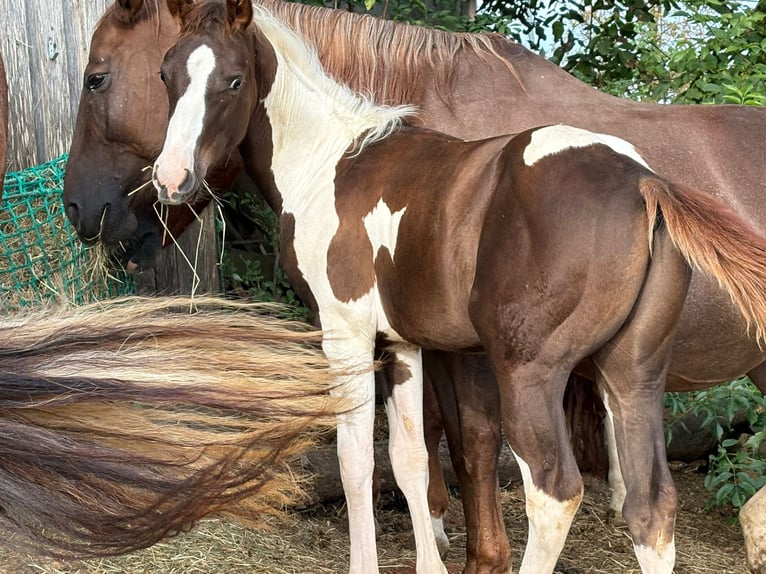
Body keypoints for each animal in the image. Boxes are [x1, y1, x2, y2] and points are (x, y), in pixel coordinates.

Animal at [62, 0, 766, 571]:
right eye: (166, 75)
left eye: (233, 80)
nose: (171, 179)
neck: (332, 161)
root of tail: (644, 182)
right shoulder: (403, 343)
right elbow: (410, 459)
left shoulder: (347, 334)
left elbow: (360, 460)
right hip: (632, 375)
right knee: (650, 508)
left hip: (530, 374)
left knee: (554, 493)